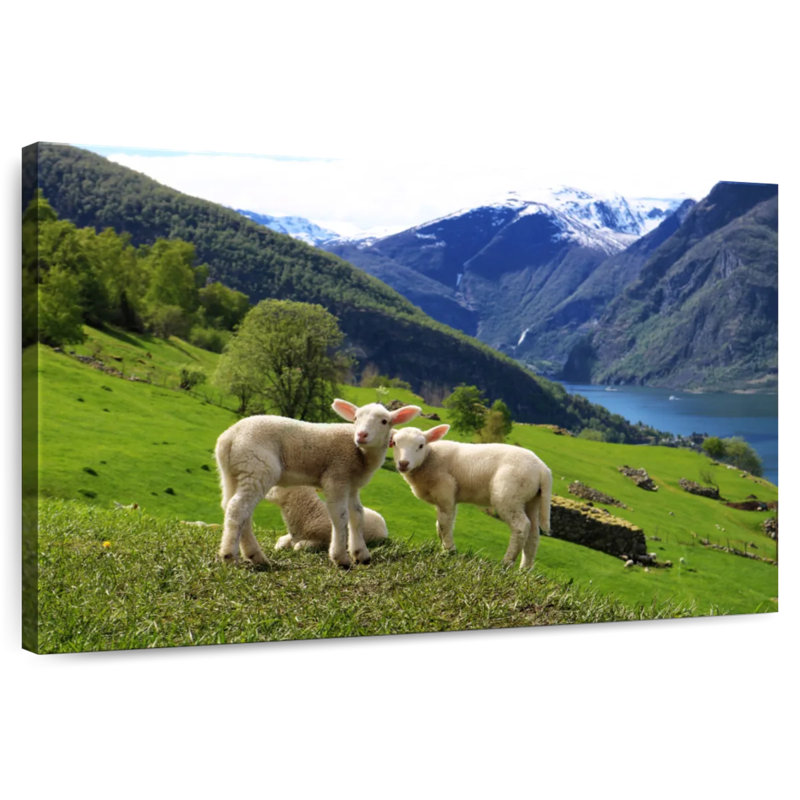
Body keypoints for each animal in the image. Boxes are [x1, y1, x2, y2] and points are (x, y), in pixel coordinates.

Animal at [215, 399, 420, 568]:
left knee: (236, 509)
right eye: (355, 418)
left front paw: (361, 554)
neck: (361, 454)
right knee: (238, 508)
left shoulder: (351, 485)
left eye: (384, 421)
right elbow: (340, 517)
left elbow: (357, 516)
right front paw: (341, 558)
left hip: (234, 473)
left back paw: (255, 556)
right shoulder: (336, 477)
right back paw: (230, 556)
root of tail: (229, 437)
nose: (361, 435)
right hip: (257, 466)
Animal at [390, 425, 552, 570]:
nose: (403, 463)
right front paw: (444, 548)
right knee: (534, 534)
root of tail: (542, 469)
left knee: (521, 526)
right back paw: (525, 569)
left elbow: (444, 524)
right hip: (531, 500)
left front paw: (449, 551)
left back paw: (506, 563)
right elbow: (440, 525)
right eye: (395, 443)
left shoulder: (445, 490)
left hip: (509, 494)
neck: (429, 457)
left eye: (421, 445)